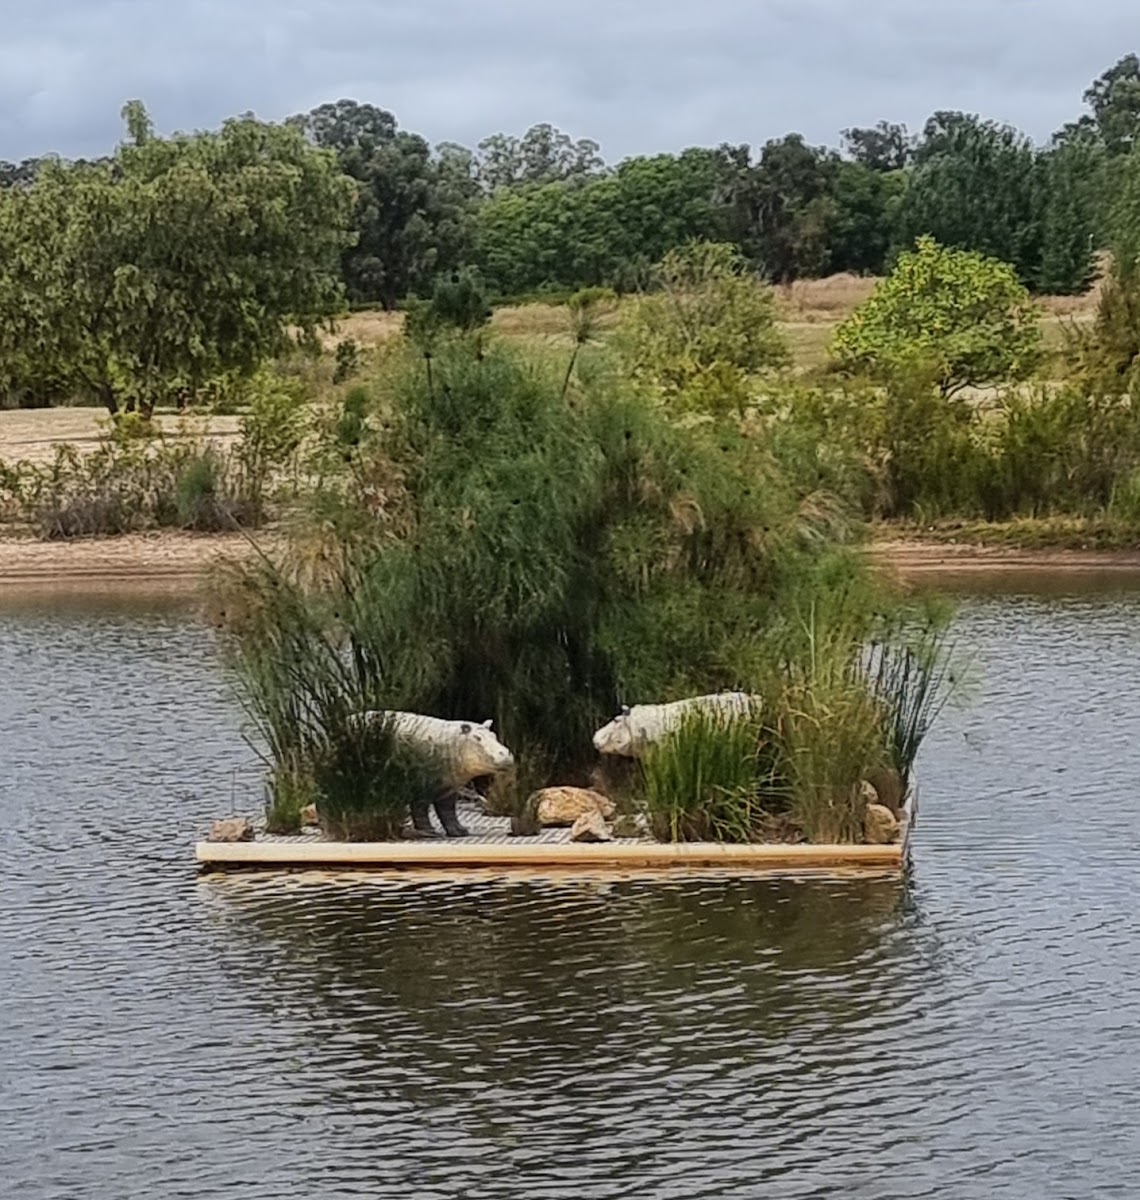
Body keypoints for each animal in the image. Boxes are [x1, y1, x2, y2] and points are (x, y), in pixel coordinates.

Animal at [356, 710, 515, 838]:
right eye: (477, 737)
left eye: (494, 735)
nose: (506, 753)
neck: (454, 743)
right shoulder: (420, 787)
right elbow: (421, 810)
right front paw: (430, 832)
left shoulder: (449, 788)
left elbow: (448, 812)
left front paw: (460, 832)